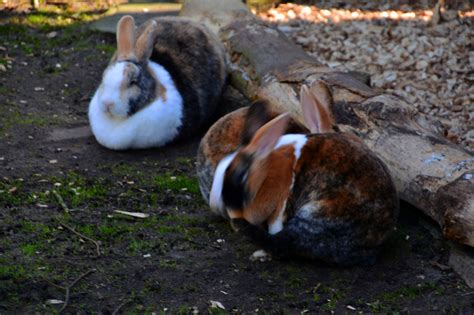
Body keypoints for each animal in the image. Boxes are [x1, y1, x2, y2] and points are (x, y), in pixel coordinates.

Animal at [202, 82, 398, 266]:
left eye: (238, 176)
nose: (215, 203)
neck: (264, 171)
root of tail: (371, 246)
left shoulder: (278, 204)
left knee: (282, 244)